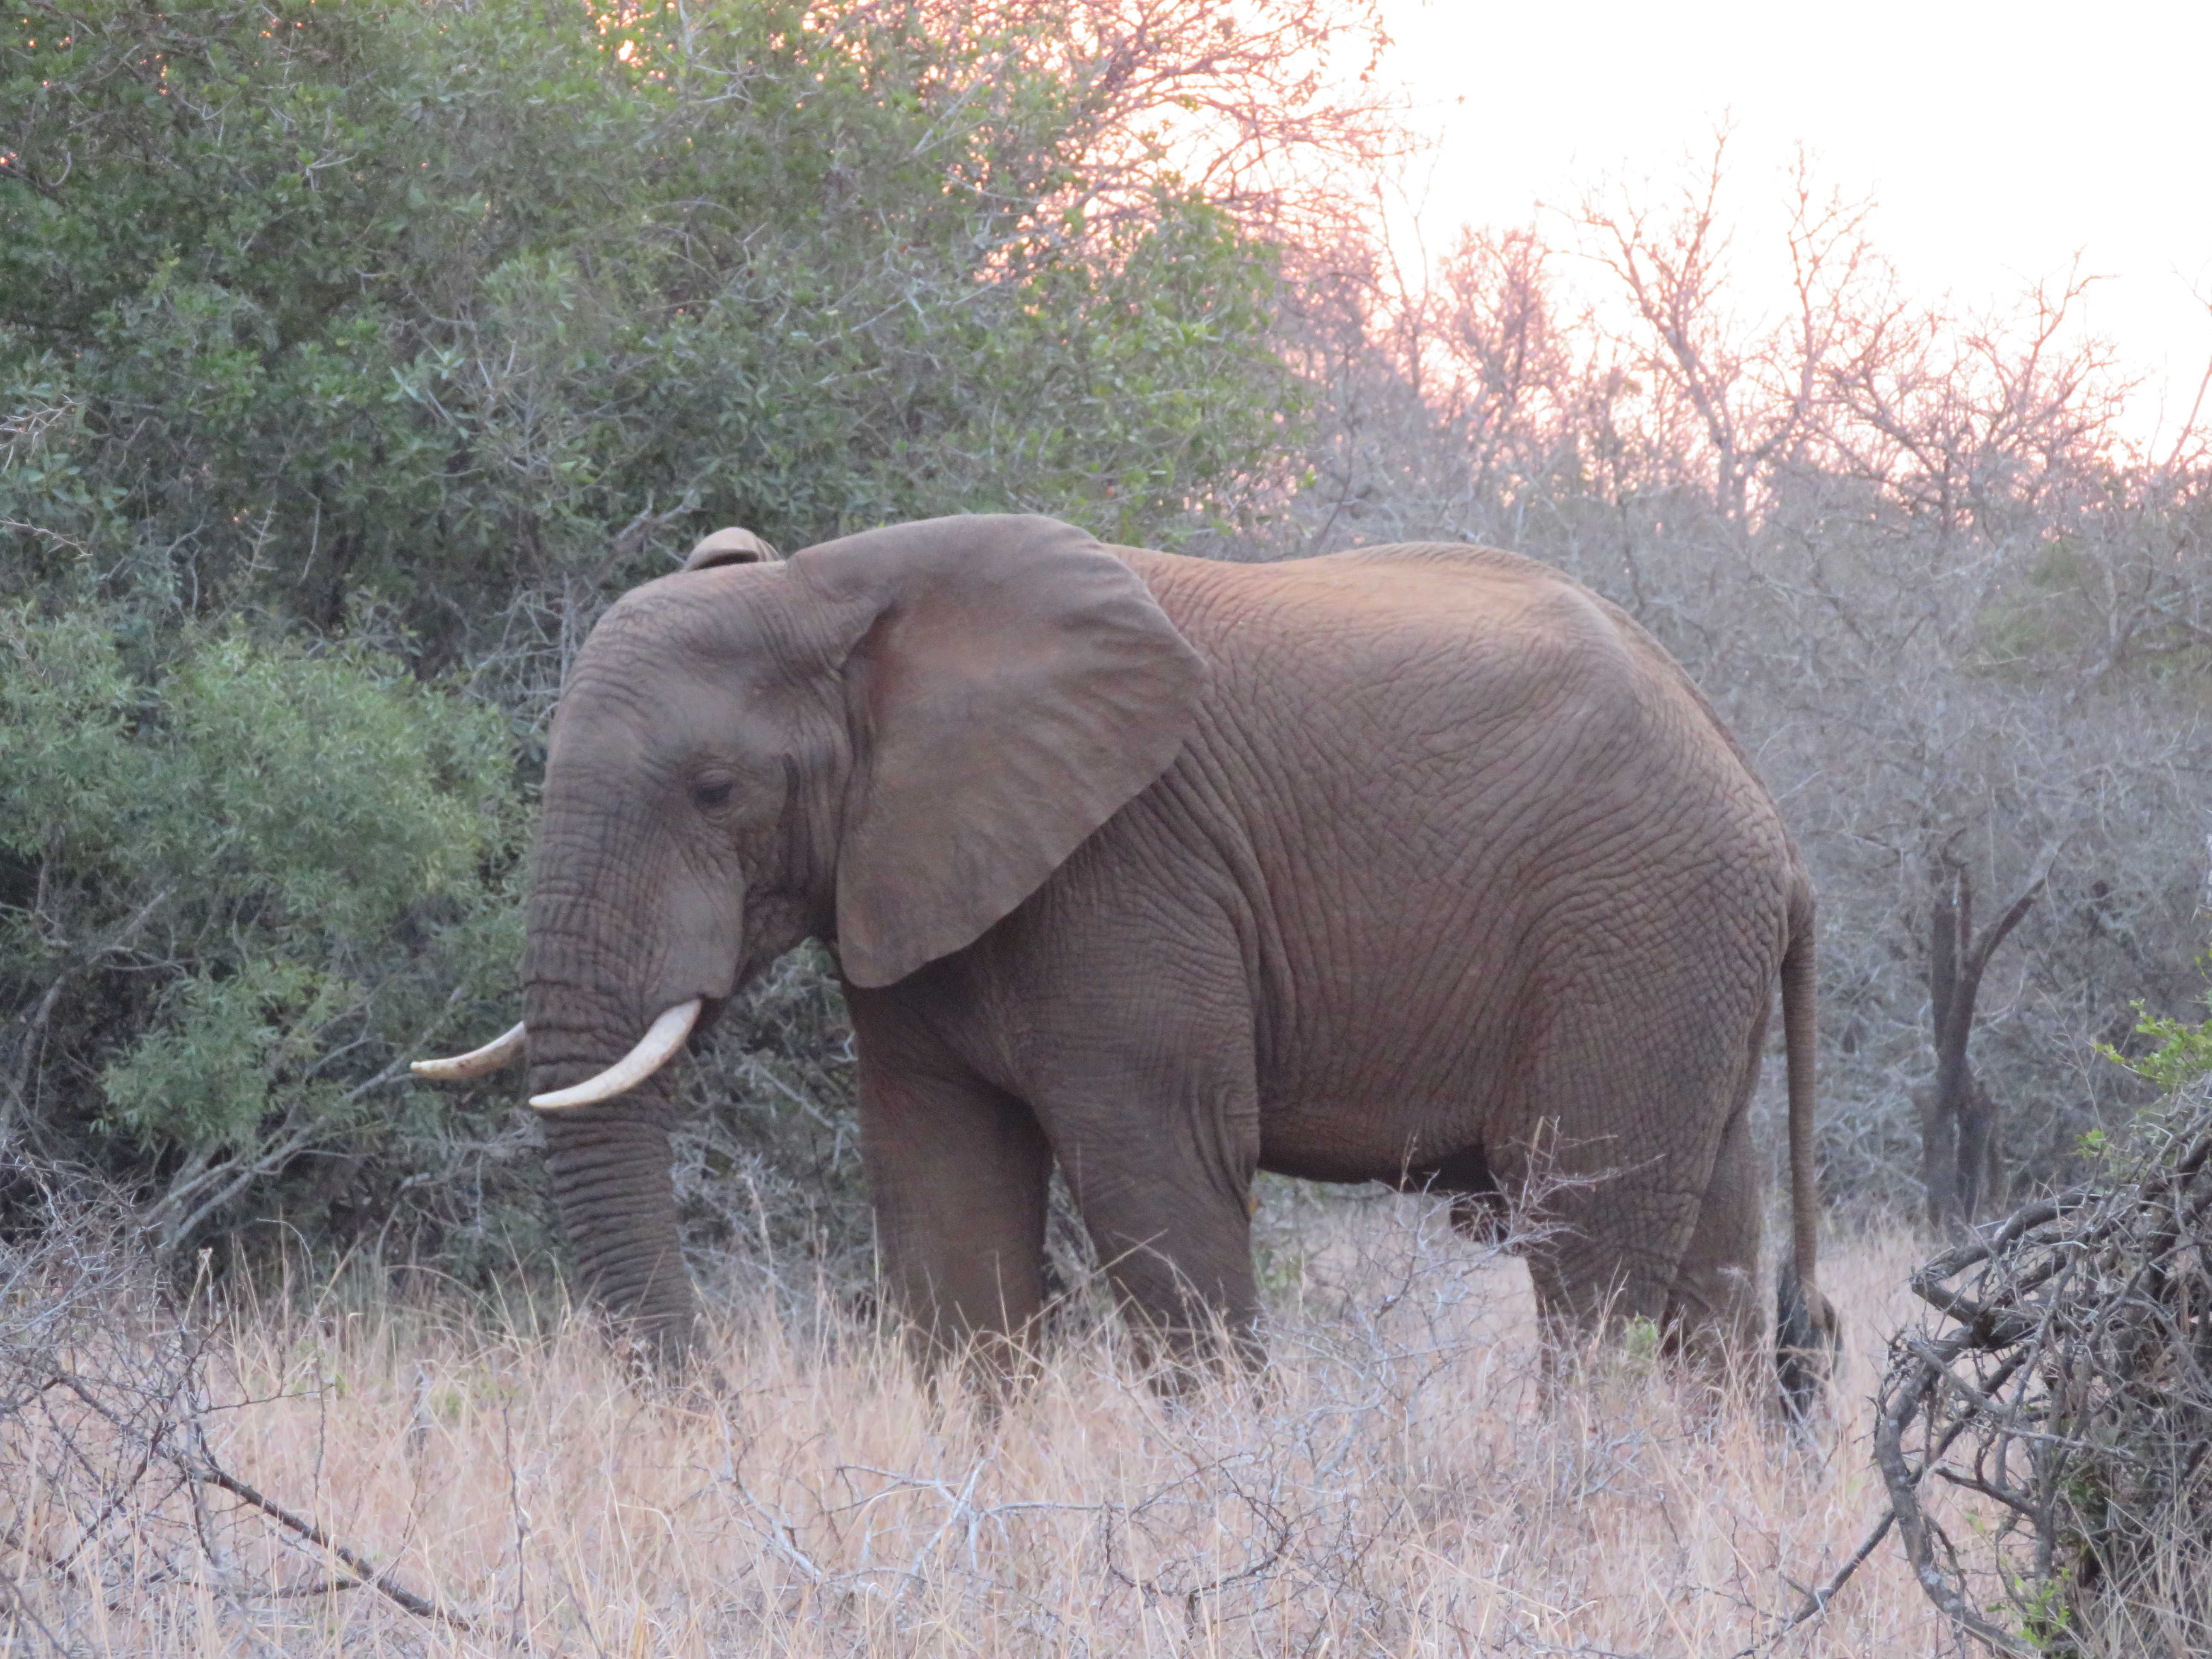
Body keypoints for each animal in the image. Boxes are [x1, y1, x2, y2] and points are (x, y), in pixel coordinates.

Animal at [417, 513, 1838, 1406]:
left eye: (716, 791)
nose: (723, 1413)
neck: (830, 586)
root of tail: (1773, 823)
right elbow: (945, 1205)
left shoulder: (1131, 873)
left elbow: (1159, 1184)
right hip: (1676, 952)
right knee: (1708, 1262)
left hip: (1636, 928)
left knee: (1591, 1254)